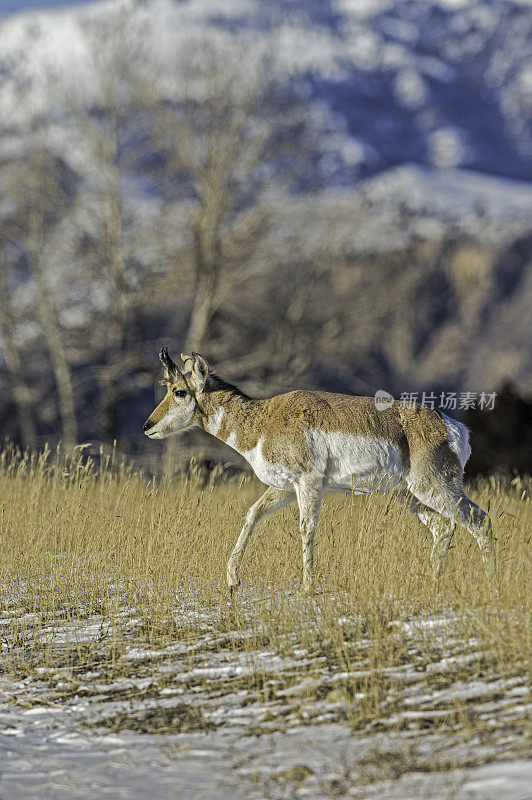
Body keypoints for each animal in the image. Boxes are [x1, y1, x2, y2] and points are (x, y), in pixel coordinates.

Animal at [144, 350, 494, 592]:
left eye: (179, 391)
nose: (147, 426)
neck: (263, 419)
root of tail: (451, 426)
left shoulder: (308, 483)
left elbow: (306, 527)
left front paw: (308, 586)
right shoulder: (284, 488)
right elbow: (252, 514)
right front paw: (232, 579)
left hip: (433, 487)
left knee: (479, 520)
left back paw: (488, 583)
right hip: (409, 495)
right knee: (443, 527)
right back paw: (430, 585)